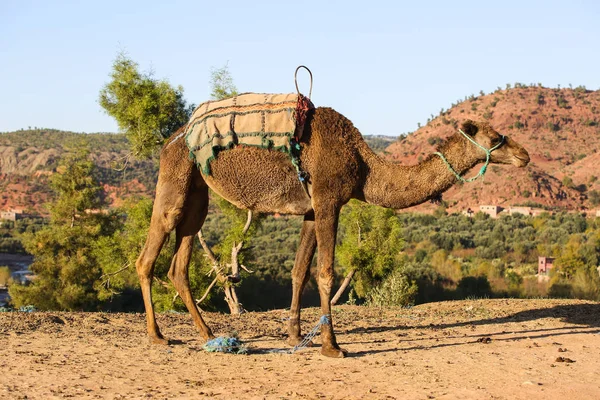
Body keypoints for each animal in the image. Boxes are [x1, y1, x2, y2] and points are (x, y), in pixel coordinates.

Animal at [136, 107, 528, 360]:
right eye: (495, 136)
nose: (524, 154)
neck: (365, 167)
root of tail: (172, 140)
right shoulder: (329, 200)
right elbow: (325, 273)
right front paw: (331, 346)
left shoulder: (312, 208)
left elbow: (299, 270)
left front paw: (296, 336)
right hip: (176, 176)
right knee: (150, 251)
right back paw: (157, 336)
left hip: (198, 191)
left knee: (181, 256)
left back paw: (208, 334)